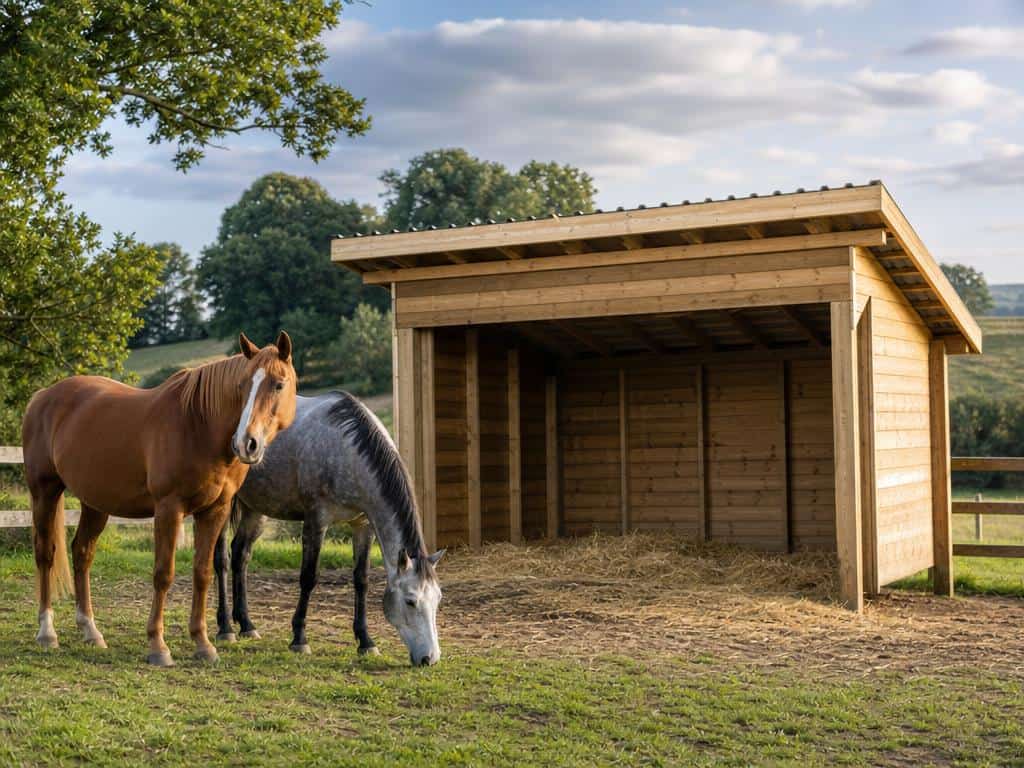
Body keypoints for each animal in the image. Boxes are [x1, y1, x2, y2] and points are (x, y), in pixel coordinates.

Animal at [21, 332, 297, 666]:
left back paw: (91, 631)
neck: (198, 424)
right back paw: (47, 633)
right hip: (44, 492)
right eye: (242, 385)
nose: (247, 443)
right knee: (45, 554)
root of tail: (43, 396)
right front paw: (158, 646)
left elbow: (202, 573)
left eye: (279, 384)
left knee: (82, 553)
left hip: (94, 503)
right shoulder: (169, 508)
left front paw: (203, 644)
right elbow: (163, 574)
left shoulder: (214, 511)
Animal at [212, 391, 445, 666]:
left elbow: (361, 580)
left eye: (437, 599)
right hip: (223, 503)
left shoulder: (363, 525)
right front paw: (299, 639)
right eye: (410, 601)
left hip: (256, 508)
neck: (346, 449)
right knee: (222, 560)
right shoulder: (316, 521)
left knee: (241, 555)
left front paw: (366, 641)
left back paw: (247, 625)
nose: (430, 658)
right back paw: (225, 628)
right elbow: (308, 578)